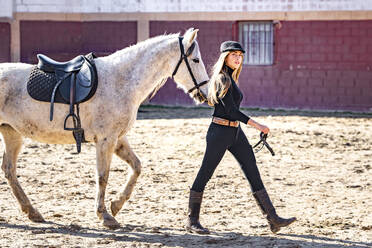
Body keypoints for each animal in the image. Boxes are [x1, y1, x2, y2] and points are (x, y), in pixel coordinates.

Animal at [0, 28, 209, 228]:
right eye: (196, 60)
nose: (205, 94)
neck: (121, 81)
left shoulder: (118, 139)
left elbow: (136, 167)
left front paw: (116, 205)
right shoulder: (105, 140)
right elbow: (103, 176)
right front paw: (105, 215)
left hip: (12, 133)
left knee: (9, 170)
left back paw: (32, 212)